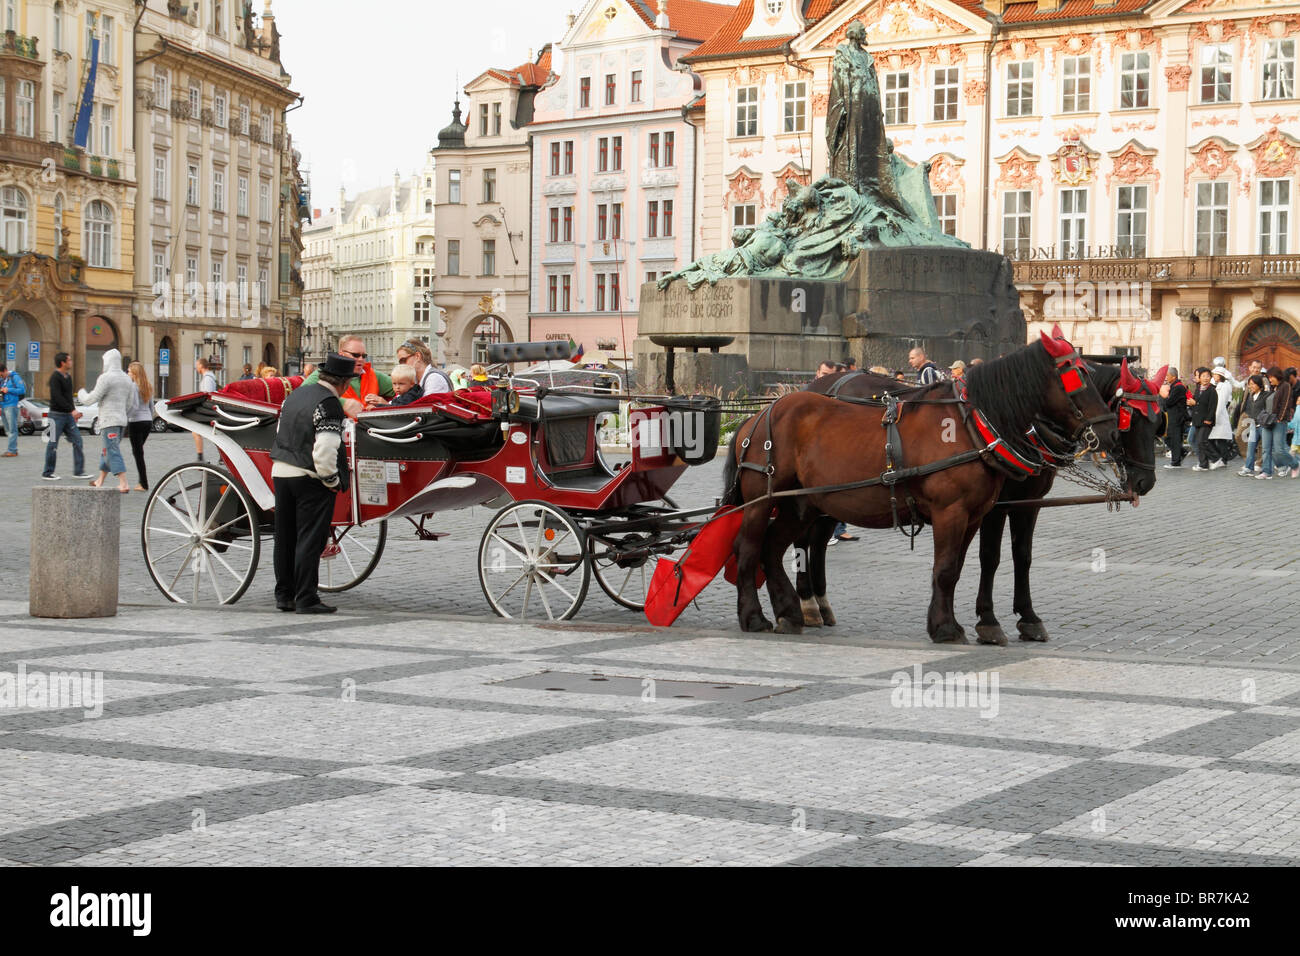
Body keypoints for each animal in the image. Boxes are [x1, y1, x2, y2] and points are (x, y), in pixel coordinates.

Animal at [722, 335, 1118, 642]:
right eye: (1078, 377)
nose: (1109, 430)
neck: (971, 426)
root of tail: (756, 416)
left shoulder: (978, 514)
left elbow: (959, 567)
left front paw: (959, 622)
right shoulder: (954, 511)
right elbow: (949, 567)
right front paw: (949, 627)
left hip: (799, 504)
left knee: (775, 549)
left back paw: (790, 612)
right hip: (762, 501)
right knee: (749, 549)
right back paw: (755, 616)